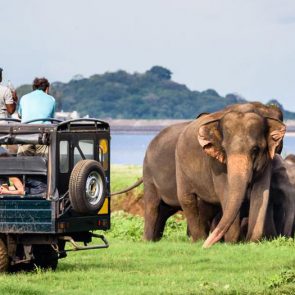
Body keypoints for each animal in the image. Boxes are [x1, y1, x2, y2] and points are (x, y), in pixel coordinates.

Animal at [143, 103, 286, 249]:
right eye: (225, 150)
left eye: (255, 149)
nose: (206, 246)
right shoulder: (216, 163)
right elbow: (225, 193)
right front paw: (231, 243)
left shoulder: (267, 160)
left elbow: (261, 194)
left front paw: (250, 242)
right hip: (167, 169)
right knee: (177, 200)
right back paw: (194, 240)